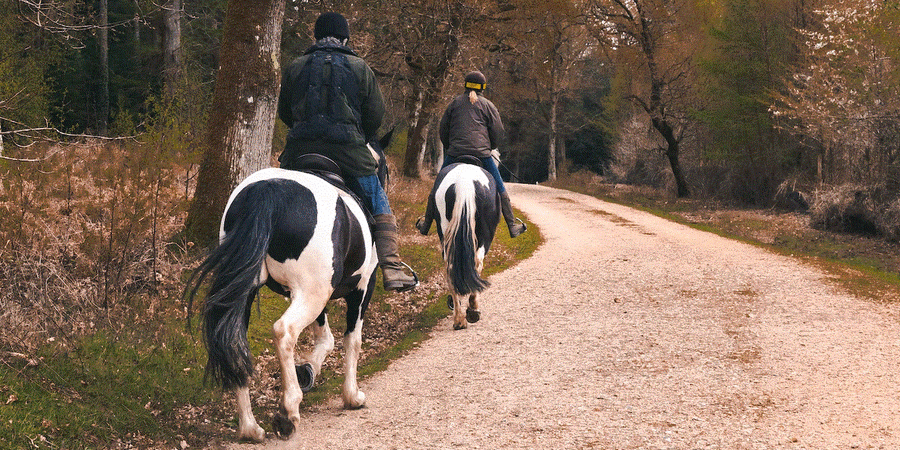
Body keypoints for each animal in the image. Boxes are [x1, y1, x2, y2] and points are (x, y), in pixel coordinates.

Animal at [187, 134, 394, 442]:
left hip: (251, 292)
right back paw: (288, 412)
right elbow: (352, 341)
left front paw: (307, 371)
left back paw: (249, 427)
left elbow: (326, 339)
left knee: (234, 341)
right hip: (311, 293)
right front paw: (352, 396)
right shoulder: (361, 289)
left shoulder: (320, 296)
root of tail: (268, 191)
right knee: (284, 332)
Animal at [428, 158, 500, 330]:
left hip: (446, 232)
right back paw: (472, 311)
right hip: (484, 236)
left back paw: (459, 319)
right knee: (477, 262)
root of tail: (464, 182)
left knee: (450, 266)